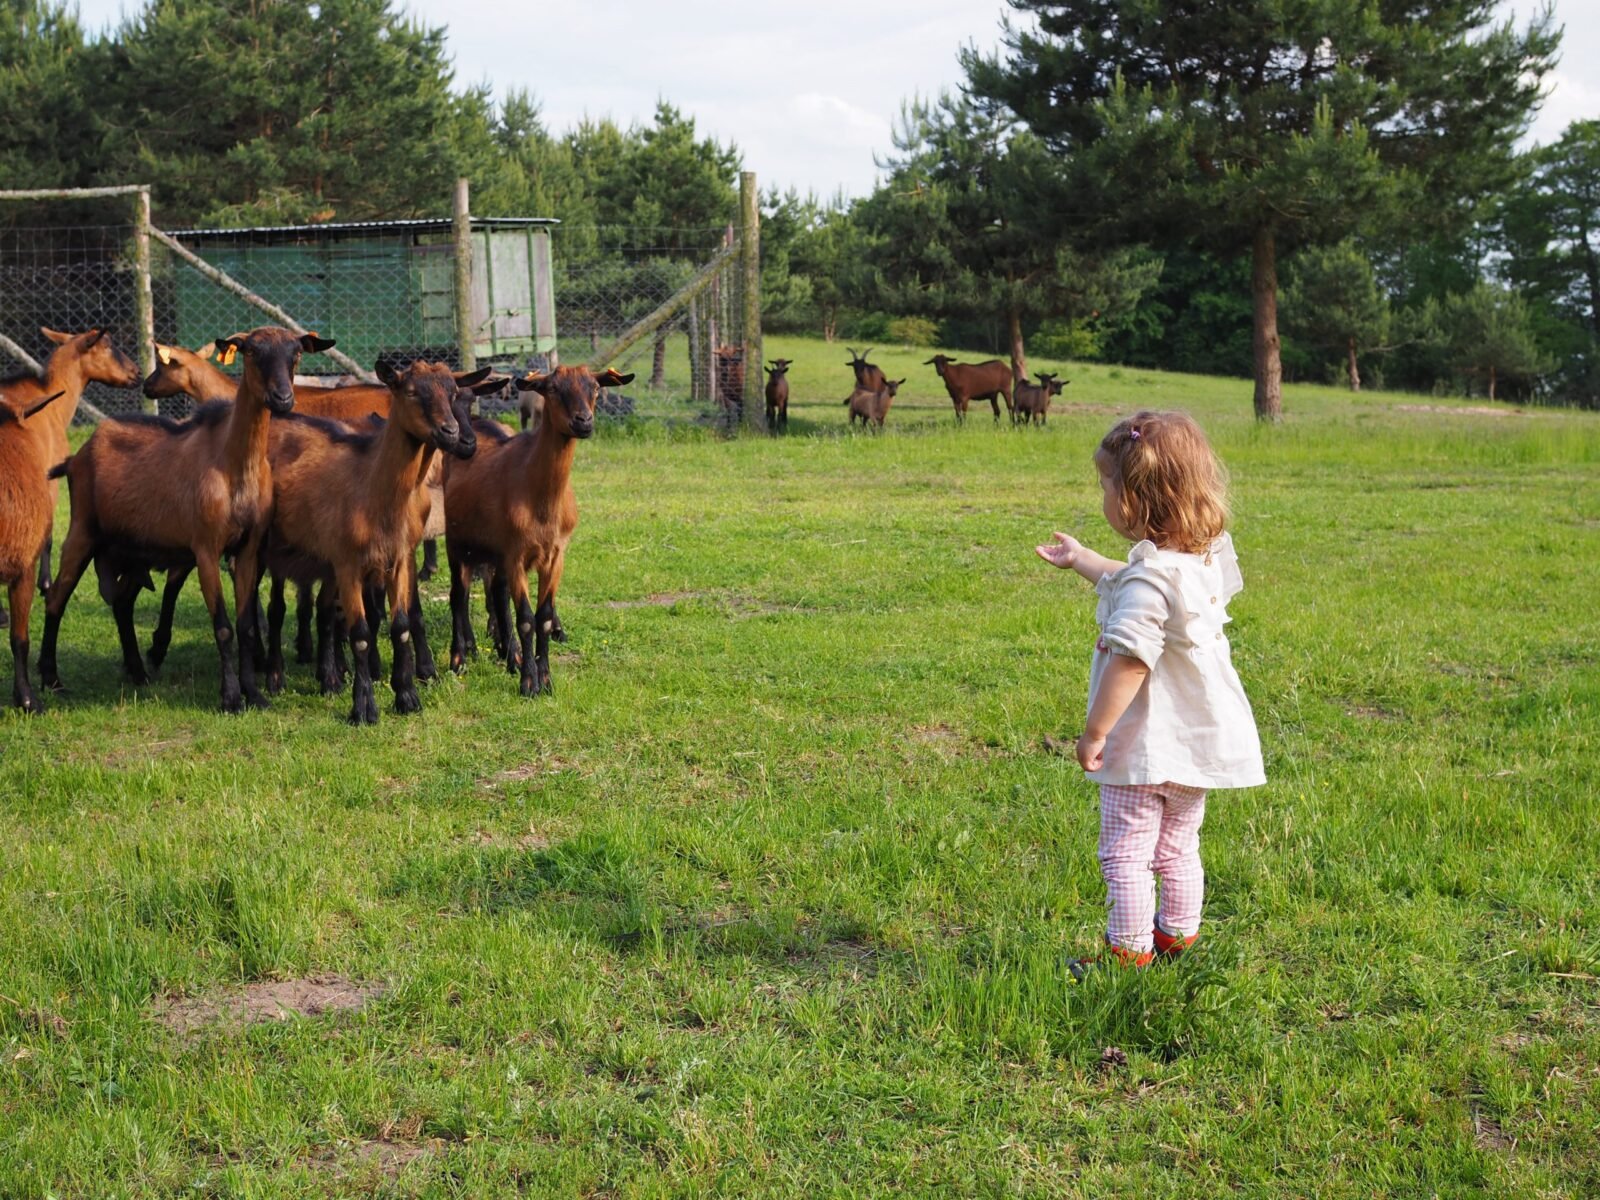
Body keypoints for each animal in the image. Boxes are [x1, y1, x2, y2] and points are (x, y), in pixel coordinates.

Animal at [38, 326, 331, 713]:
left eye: (296, 353)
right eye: (252, 351)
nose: (282, 398)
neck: (234, 466)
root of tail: (76, 457)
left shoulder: (248, 549)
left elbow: (246, 627)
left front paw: (255, 694)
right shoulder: (206, 548)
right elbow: (223, 627)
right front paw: (231, 698)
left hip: (134, 549)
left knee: (122, 602)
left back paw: (138, 672)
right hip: (82, 531)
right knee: (56, 597)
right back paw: (51, 679)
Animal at [448, 364, 633, 694]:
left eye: (595, 388)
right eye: (554, 389)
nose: (583, 421)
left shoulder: (555, 555)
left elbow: (543, 617)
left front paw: (545, 680)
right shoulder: (516, 555)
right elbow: (525, 619)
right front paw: (528, 684)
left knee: (494, 594)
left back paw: (507, 656)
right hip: (456, 543)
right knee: (458, 596)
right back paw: (459, 660)